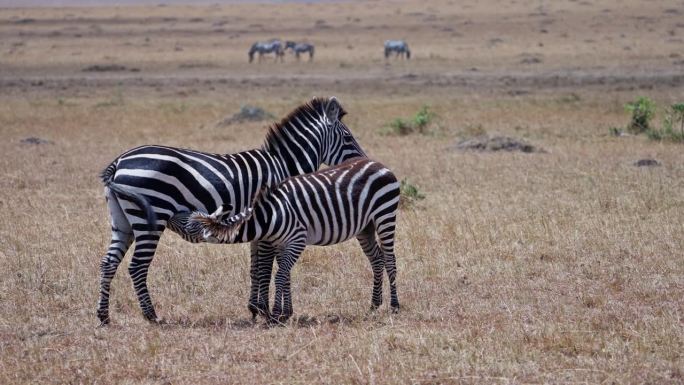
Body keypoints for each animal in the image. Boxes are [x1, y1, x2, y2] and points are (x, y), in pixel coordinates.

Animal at [97, 96, 366, 324]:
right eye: (348, 138)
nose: (363, 162)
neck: (282, 166)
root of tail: (119, 162)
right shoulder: (272, 220)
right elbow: (266, 267)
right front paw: (266, 312)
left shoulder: (262, 225)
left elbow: (256, 267)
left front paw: (255, 309)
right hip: (150, 218)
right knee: (137, 266)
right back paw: (151, 316)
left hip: (122, 222)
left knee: (108, 263)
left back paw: (104, 316)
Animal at [187, 158, 400, 322]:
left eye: (193, 226)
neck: (271, 216)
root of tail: (378, 163)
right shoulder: (282, 244)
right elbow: (286, 275)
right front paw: (286, 312)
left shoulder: (297, 240)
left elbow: (280, 276)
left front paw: (275, 314)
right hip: (365, 227)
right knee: (376, 260)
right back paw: (374, 305)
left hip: (384, 215)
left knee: (390, 260)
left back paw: (394, 306)